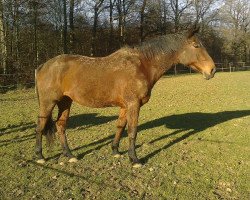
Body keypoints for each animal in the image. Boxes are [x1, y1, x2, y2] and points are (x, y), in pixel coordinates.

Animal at [34, 26, 215, 167]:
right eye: (196, 45)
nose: (212, 70)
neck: (142, 65)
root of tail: (43, 66)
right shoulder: (134, 104)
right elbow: (132, 130)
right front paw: (134, 159)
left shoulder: (124, 106)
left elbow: (120, 127)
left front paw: (115, 151)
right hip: (48, 102)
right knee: (40, 126)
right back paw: (40, 156)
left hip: (65, 101)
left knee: (61, 126)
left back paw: (69, 155)